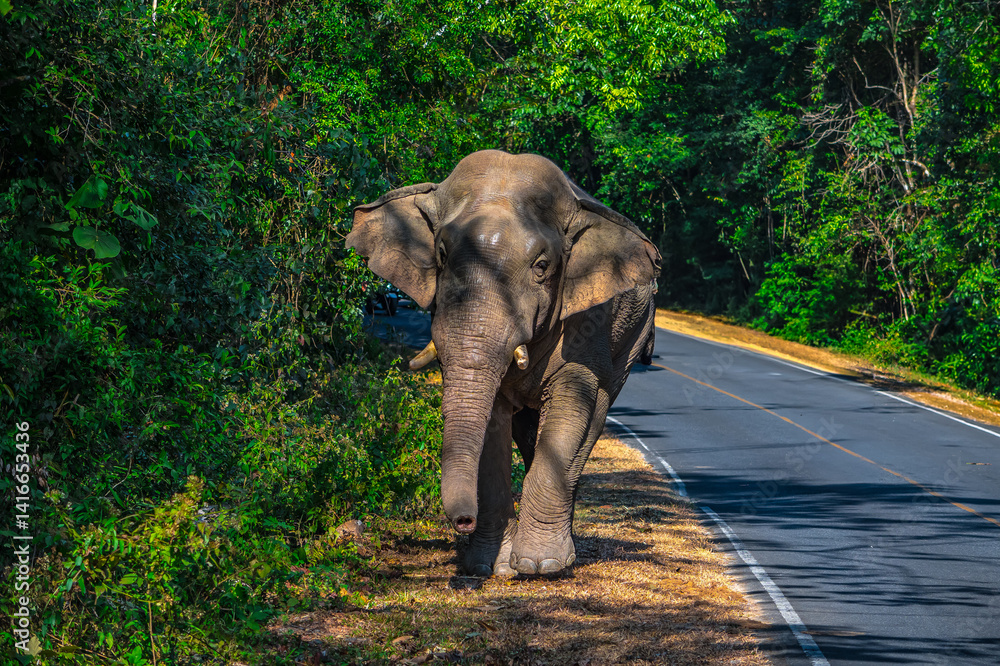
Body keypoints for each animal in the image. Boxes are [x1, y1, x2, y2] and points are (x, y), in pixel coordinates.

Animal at [346, 150, 660, 576]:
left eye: (542, 267)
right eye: (441, 255)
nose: (464, 521)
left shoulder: (592, 321)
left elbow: (572, 407)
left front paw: (539, 566)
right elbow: (493, 424)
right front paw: (491, 567)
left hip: (632, 339)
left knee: (592, 419)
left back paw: (565, 557)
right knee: (529, 435)